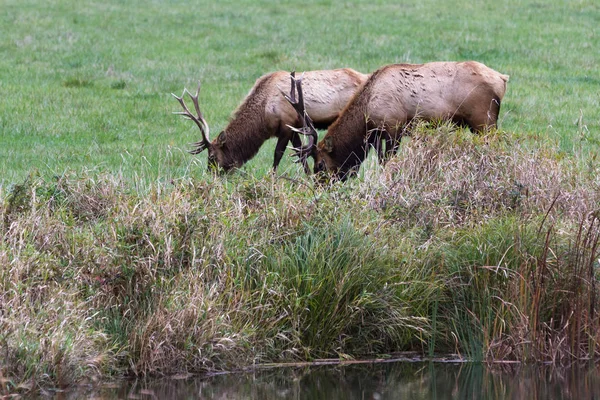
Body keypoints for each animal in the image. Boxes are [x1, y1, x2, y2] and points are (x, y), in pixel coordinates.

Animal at [171, 67, 368, 173]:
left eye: (212, 156)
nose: (210, 175)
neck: (264, 115)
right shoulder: (295, 128)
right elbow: (300, 154)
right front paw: (309, 179)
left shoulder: (286, 125)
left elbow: (278, 155)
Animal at [290, 61, 510, 180]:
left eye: (320, 164)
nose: (320, 186)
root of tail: (502, 78)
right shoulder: (377, 135)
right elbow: (381, 161)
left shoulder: (393, 128)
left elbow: (388, 163)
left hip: (484, 121)